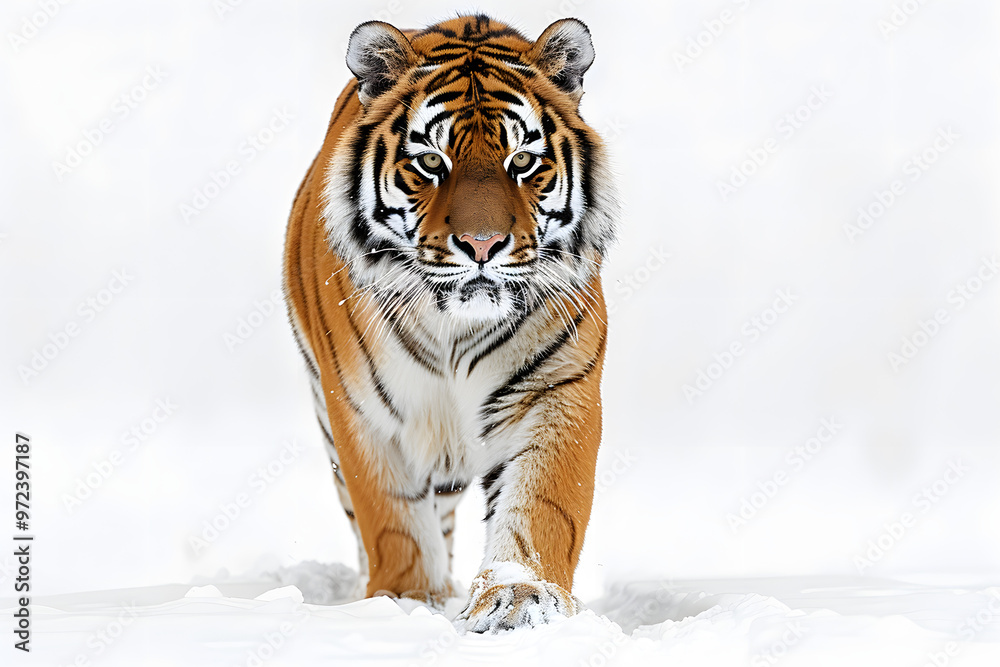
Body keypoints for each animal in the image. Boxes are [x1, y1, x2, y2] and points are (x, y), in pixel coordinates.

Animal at [282, 13, 618, 632]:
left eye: (523, 162)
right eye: (431, 163)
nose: (482, 245)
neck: (454, 327)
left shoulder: (556, 388)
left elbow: (542, 505)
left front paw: (518, 597)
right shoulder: (363, 415)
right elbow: (393, 521)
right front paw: (407, 602)